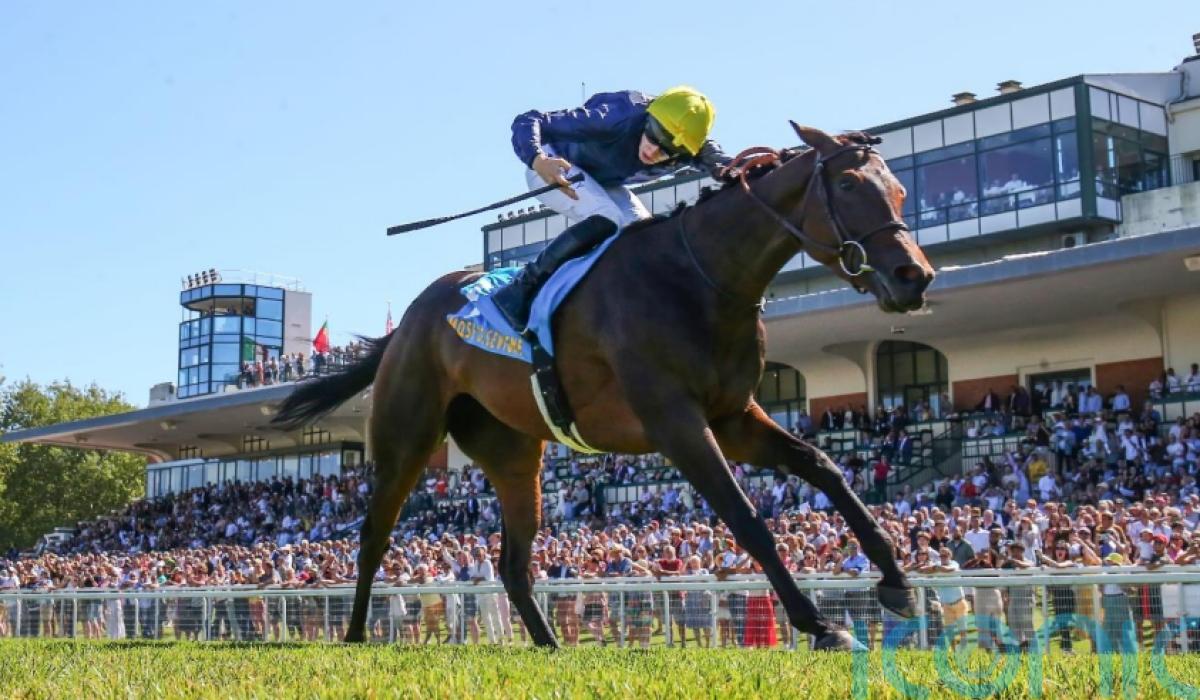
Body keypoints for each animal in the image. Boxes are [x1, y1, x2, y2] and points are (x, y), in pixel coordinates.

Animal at [273, 123, 935, 651]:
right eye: (848, 187)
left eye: (901, 189)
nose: (914, 276)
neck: (700, 276)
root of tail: (411, 319)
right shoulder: (676, 420)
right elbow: (745, 515)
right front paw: (821, 625)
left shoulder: (733, 417)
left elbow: (826, 468)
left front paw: (895, 581)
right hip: (406, 437)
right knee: (374, 535)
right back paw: (356, 634)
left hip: (514, 454)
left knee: (512, 563)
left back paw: (548, 644)